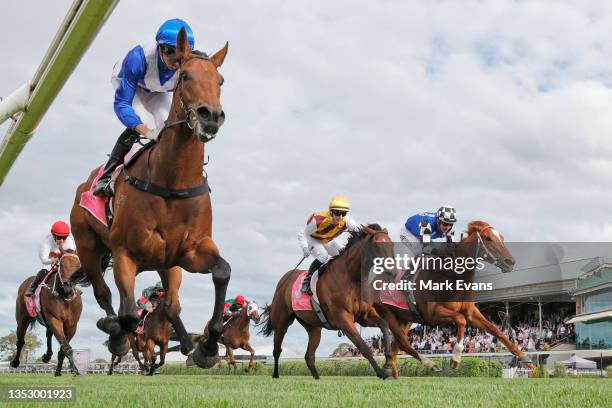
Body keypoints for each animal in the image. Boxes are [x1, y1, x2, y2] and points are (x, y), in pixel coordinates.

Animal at [69, 27, 231, 368]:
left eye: (220, 80)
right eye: (185, 75)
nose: (210, 116)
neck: (172, 181)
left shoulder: (190, 252)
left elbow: (222, 271)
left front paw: (207, 346)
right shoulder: (124, 254)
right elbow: (129, 315)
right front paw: (118, 335)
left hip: (166, 265)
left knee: (170, 304)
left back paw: (188, 344)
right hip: (88, 247)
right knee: (105, 296)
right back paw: (113, 328)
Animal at [260, 223, 396, 380]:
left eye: (392, 244)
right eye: (377, 245)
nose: (393, 272)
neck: (352, 278)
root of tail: (285, 279)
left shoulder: (364, 315)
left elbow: (384, 325)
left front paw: (387, 365)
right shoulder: (343, 319)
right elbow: (363, 347)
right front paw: (382, 372)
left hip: (313, 327)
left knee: (309, 356)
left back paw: (317, 378)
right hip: (282, 322)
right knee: (277, 350)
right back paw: (275, 375)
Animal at [372, 222, 532, 378]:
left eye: (502, 238)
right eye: (488, 238)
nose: (510, 262)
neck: (450, 275)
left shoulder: (470, 312)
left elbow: (495, 329)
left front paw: (523, 356)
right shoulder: (432, 315)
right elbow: (461, 320)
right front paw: (456, 359)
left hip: (405, 319)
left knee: (397, 347)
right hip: (388, 315)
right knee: (401, 345)